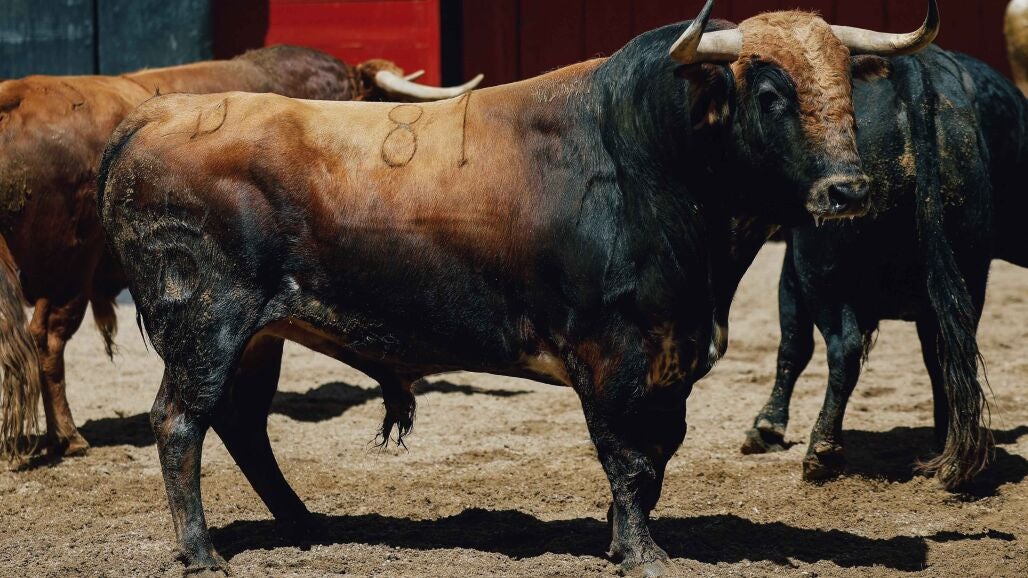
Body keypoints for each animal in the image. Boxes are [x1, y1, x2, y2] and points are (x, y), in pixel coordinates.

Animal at [98, 1, 941, 575]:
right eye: (771, 95)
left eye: (846, 87)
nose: (847, 191)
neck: (651, 156)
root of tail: (155, 116)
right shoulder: (610, 354)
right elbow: (628, 458)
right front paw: (643, 554)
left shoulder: (671, 356)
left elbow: (656, 455)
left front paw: (621, 541)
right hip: (207, 323)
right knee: (180, 421)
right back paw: (202, 552)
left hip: (258, 336)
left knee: (241, 425)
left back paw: (304, 525)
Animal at [740, 46, 1027, 487]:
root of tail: (910, 69)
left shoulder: (796, 265)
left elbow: (793, 343)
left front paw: (766, 427)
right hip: (969, 268)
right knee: (948, 354)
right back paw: (949, 451)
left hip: (823, 271)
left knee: (843, 350)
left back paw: (822, 453)